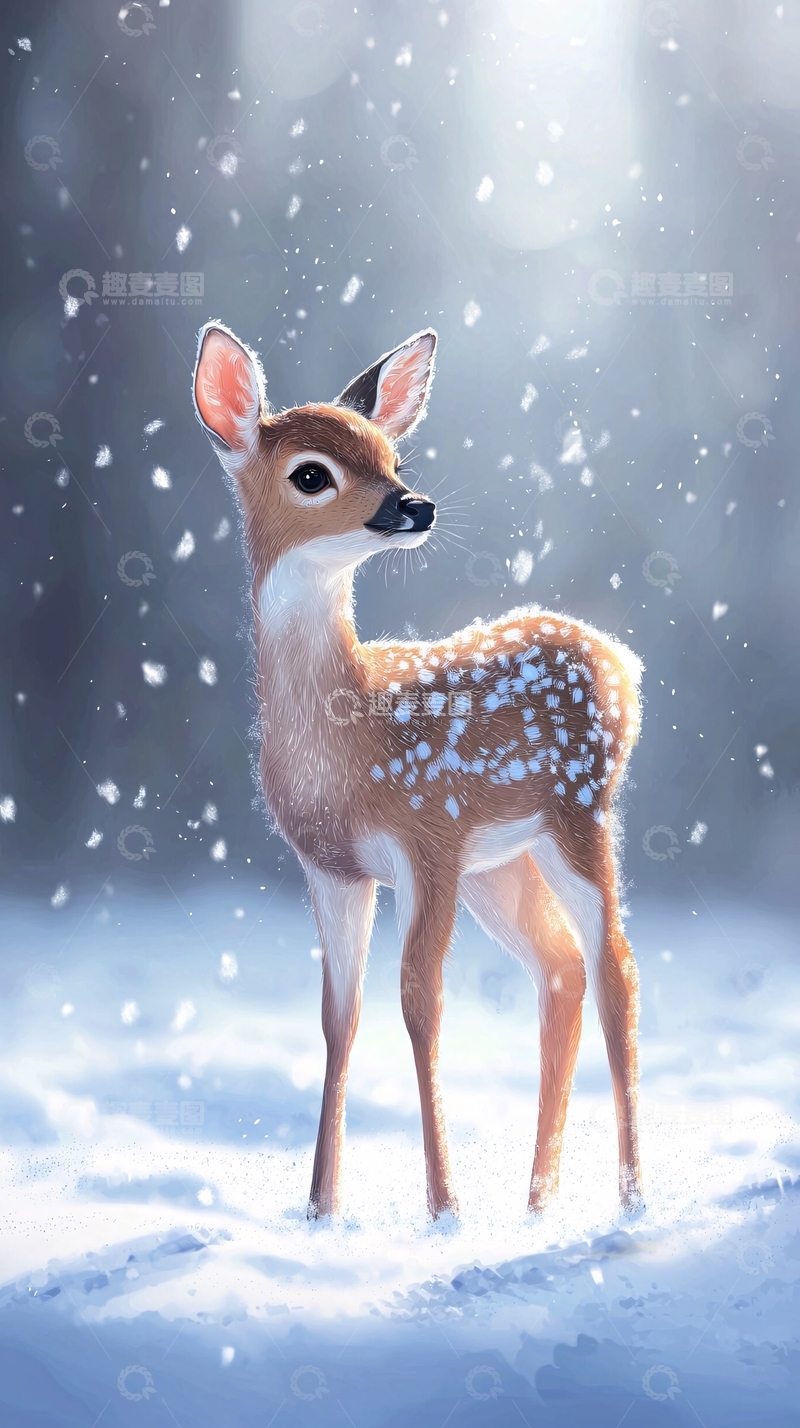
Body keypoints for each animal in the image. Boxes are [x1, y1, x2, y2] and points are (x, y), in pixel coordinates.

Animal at [192, 321, 644, 1222]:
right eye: (311, 473)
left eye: (392, 457)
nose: (415, 505)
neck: (348, 739)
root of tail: (617, 657)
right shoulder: (333, 867)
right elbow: (339, 1019)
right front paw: (319, 1209)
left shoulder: (427, 838)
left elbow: (420, 1005)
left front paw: (443, 1211)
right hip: (500, 861)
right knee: (563, 967)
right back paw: (537, 1202)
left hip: (579, 813)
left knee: (614, 965)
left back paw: (630, 1198)